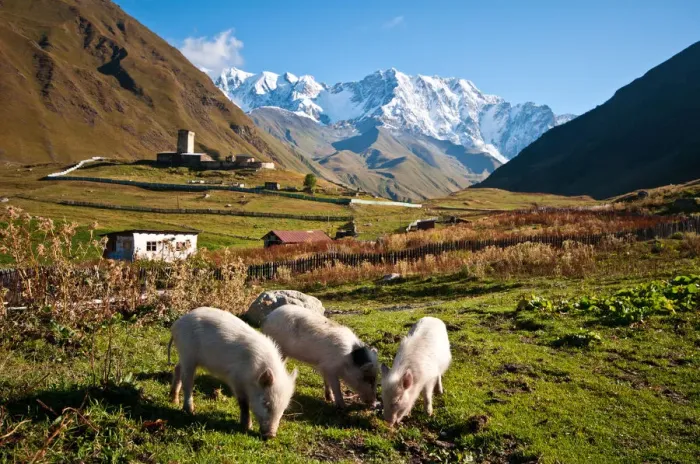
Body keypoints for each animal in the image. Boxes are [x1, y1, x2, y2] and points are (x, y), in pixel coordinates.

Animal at [168, 307, 298, 439]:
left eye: (283, 409)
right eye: (265, 403)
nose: (271, 435)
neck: (254, 374)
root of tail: (177, 323)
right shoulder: (236, 379)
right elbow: (244, 403)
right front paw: (247, 427)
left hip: (185, 356)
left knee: (177, 369)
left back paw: (174, 400)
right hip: (188, 354)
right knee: (187, 381)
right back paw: (190, 411)